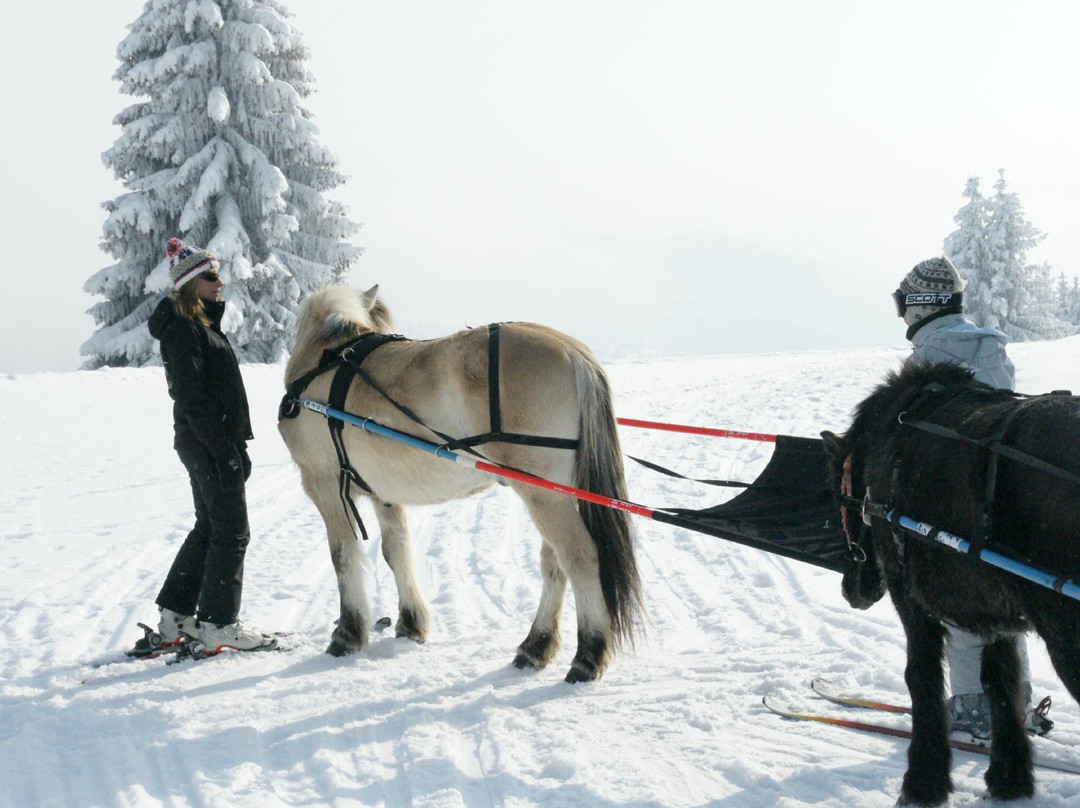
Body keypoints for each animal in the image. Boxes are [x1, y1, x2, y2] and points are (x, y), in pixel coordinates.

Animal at [282, 285, 643, 682]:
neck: (325, 361)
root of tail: (576, 354)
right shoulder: (384, 493)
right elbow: (396, 551)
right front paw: (411, 623)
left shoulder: (325, 484)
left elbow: (343, 557)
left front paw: (347, 635)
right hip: (553, 494)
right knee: (554, 562)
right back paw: (536, 646)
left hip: (543, 493)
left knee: (580, 557)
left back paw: (588, 655)